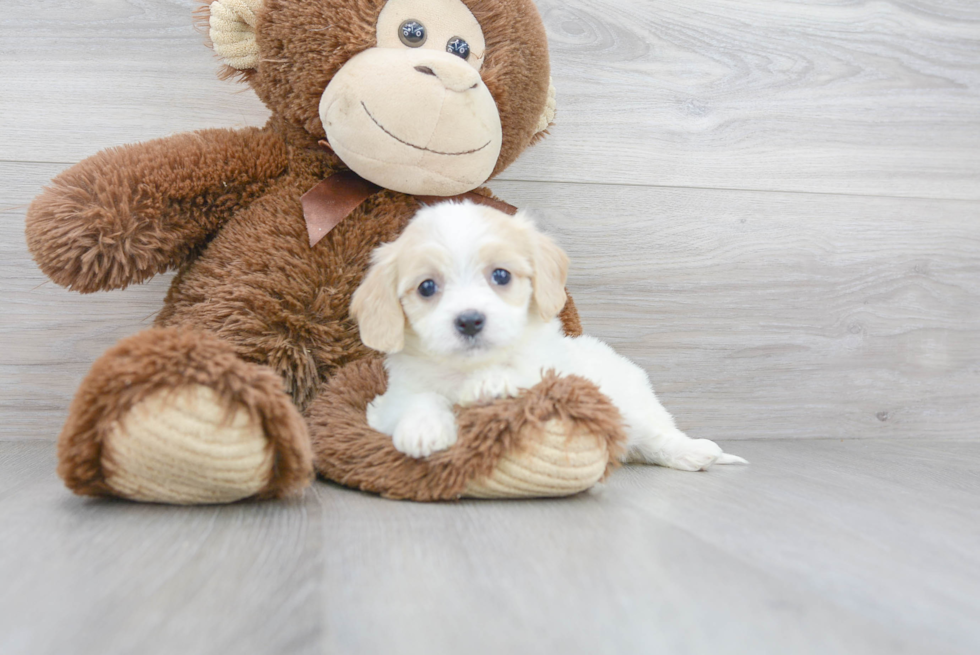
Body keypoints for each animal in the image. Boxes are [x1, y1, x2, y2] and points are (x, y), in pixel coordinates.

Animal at [348, 201, 748, 472]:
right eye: (427, 287)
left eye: (501, 275)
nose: (470, 321)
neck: (471, 366)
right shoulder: (392, 399)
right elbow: (418, 399)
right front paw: (423, 428)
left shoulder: (554, 375)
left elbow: (522, 374)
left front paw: (490, 384)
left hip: (632, 407)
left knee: (656, 436)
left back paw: (696, 451)